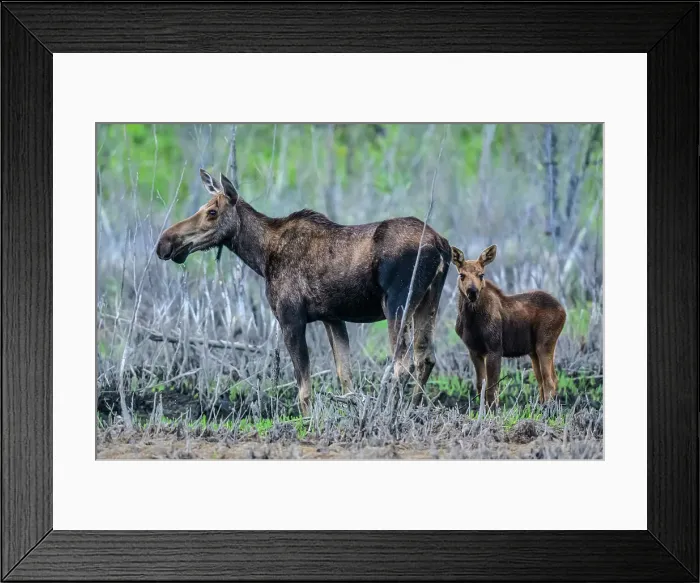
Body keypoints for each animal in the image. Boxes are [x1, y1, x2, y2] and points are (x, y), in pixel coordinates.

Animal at [156, 169, 452, 415]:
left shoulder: (291, 319)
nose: (165, 243)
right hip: (428, 300)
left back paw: (390, 413)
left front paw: (308, 423)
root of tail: (441, 244)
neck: (261, 257)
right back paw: (411, 410)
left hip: (397, 303)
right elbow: (345, 377)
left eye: (212, 212)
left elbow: (303, 388)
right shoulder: (333, 318)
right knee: (425, 356)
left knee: (403, 364)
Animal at [451, 244, 566, 409]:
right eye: (462, 275)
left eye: (481, 275)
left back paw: (547, 410)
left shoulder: (495, 349)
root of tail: (563, 311)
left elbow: (492, 387)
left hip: (545, 344)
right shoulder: (474, 350)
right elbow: (480, 386)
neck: (470, 320)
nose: (472, 292)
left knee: (549, 380)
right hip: (534, 351)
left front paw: (492, 411)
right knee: (546, 380)